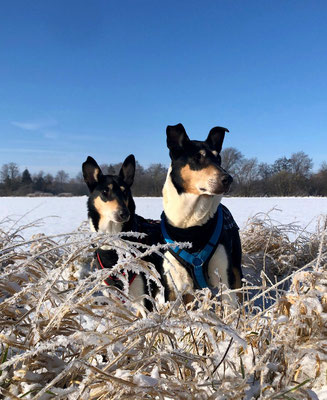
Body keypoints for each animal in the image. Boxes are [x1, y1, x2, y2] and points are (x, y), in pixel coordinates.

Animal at [161, 122, 243, 304]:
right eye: (198, 157)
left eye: (218, 159)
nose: (228, 179)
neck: (191, 223)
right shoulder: (173, 287)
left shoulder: (225, 280)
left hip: (235, 266)